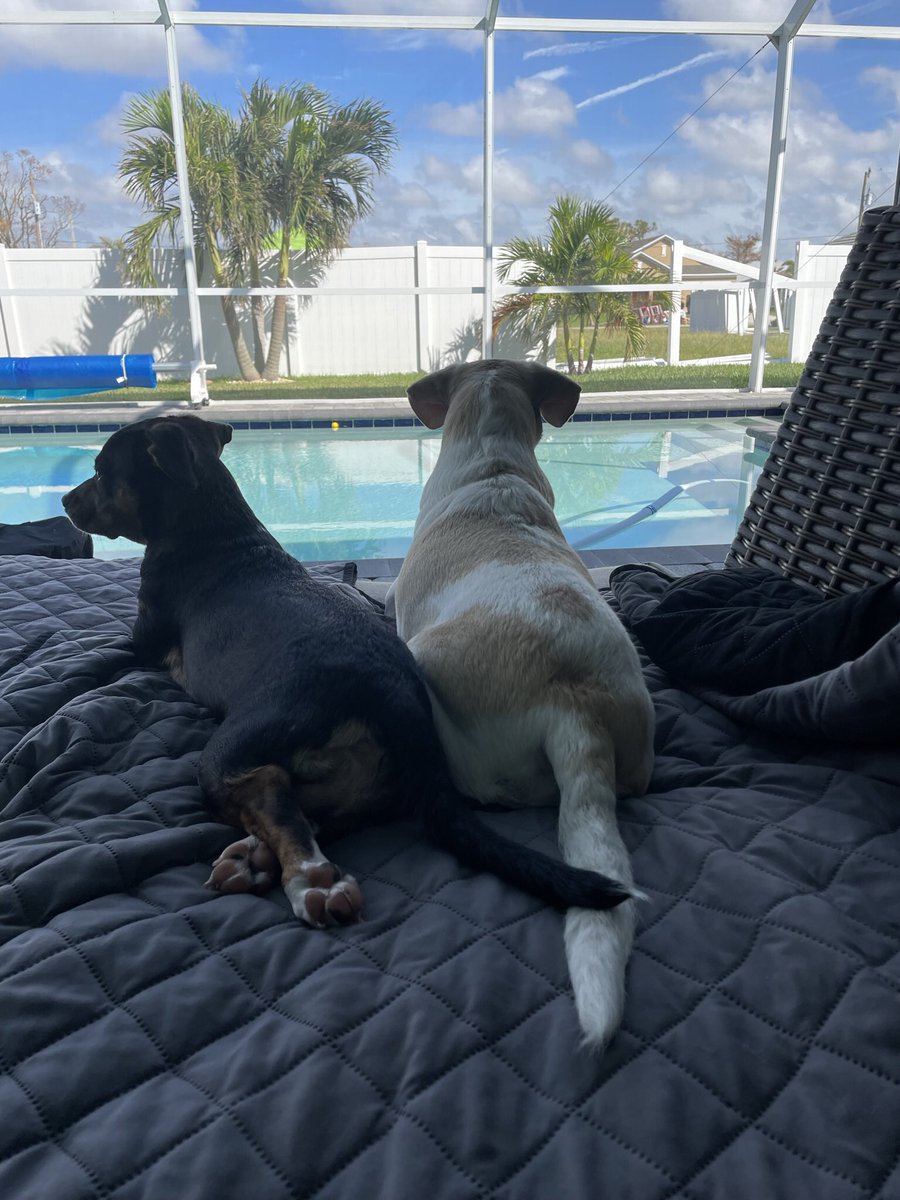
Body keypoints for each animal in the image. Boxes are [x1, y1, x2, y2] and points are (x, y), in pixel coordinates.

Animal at [61, 415, 633, 926]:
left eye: (102, 470)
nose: (66, 502)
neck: (212, 523)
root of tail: (392, 692)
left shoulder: (142, 639)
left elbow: (94, 656)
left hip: (238, 742)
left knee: (268, 788)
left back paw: (312, 879)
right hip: (361, 782)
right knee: (312, 808)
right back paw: (255, 859)